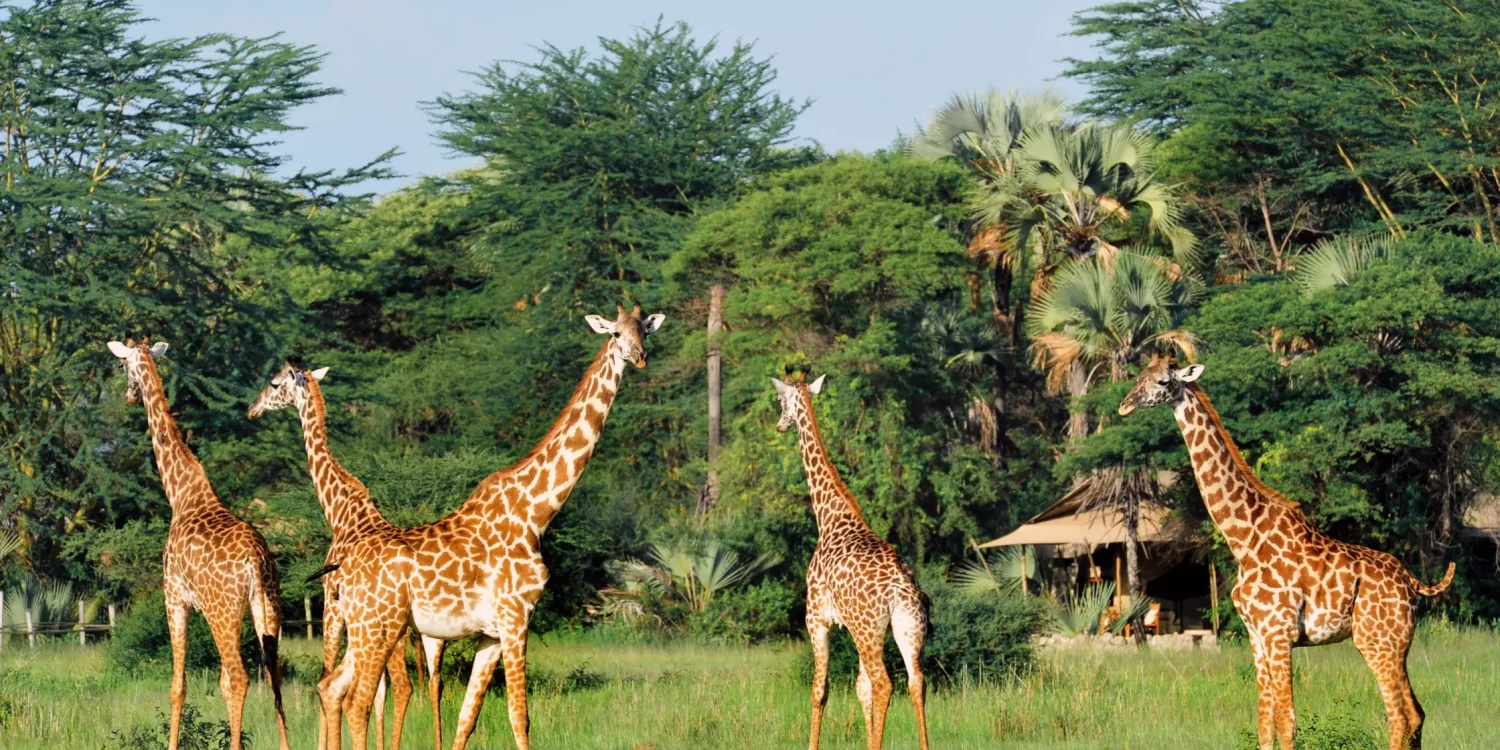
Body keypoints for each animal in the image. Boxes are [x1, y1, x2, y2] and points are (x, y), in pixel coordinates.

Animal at [106, 338, 292, 750]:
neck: (182, 493)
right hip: (268, 606)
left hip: (223, 611)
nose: (128, 396)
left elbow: (178, 685)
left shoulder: (174, 597)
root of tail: (255, 561)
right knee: (273, 674)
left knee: (237, 676)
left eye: (122, 366)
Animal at [248, 360, 420, 750]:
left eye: (274, 383)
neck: (340, 512)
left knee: (398, 686)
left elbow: (327, 677)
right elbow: (369, 693)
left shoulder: (330, 604)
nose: (252, 409)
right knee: (399, 688)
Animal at [317, 304, 664, 750]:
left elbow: (468, 718)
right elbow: (520, 716)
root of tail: (342, 573)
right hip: (379, 625)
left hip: (363, 627)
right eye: (616, 333)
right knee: (357, 701)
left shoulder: (492, 633)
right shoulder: (517, 617)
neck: (535, 513)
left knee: (333, 688)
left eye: (645, 332)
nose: (639, 357)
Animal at [771, 367, 930, 750]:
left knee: (886, 682)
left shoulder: (817, 618)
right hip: (905, 628)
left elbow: (820, 690)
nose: (780, 425)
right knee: (915, 681)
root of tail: (901, 592)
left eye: (780, 400)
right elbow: (861, 690)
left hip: (868, 629)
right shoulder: (853, 627)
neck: (830, 517)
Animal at [1117, 355, 1454, 750]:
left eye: (1161, 381)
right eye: (1138, 377)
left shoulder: (1279, 633)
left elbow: (1287, 722)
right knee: (1417, 713)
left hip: (1377, 641)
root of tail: (1413, 584)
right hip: (1397, 644)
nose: (1124, 405)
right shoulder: (1257, 636)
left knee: (1399, 716)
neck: (1243, 538)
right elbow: (1265, 724)